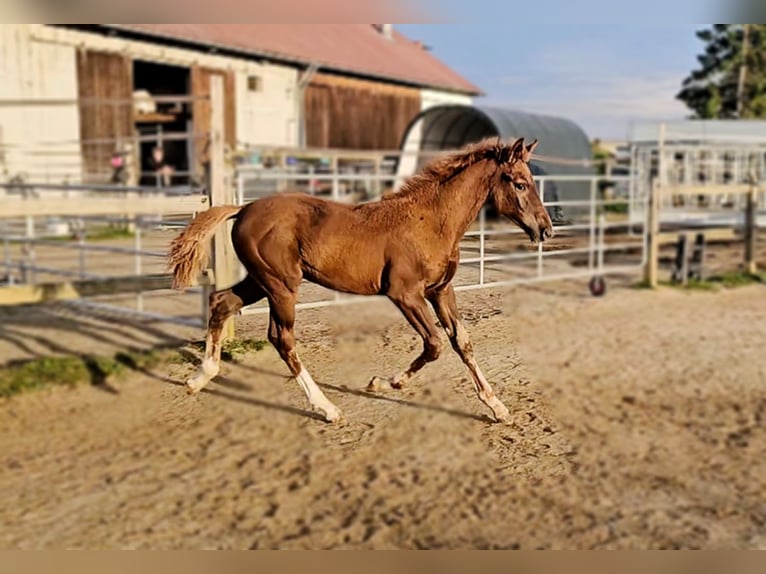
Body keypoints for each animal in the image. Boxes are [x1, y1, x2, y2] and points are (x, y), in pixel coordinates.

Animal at [168, 137, 554, 424]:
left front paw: (497, 407)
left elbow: (463, 343)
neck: (432, 221)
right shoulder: (404, 294)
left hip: (260, 281)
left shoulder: (440, 290)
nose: (545, 229)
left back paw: (198, 378)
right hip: (281, 286)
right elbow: (434, 344)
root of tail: (243, 209)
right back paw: (327, 408)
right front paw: (384, 383)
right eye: (520, 183)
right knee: (281, 338)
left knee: (221, 303)